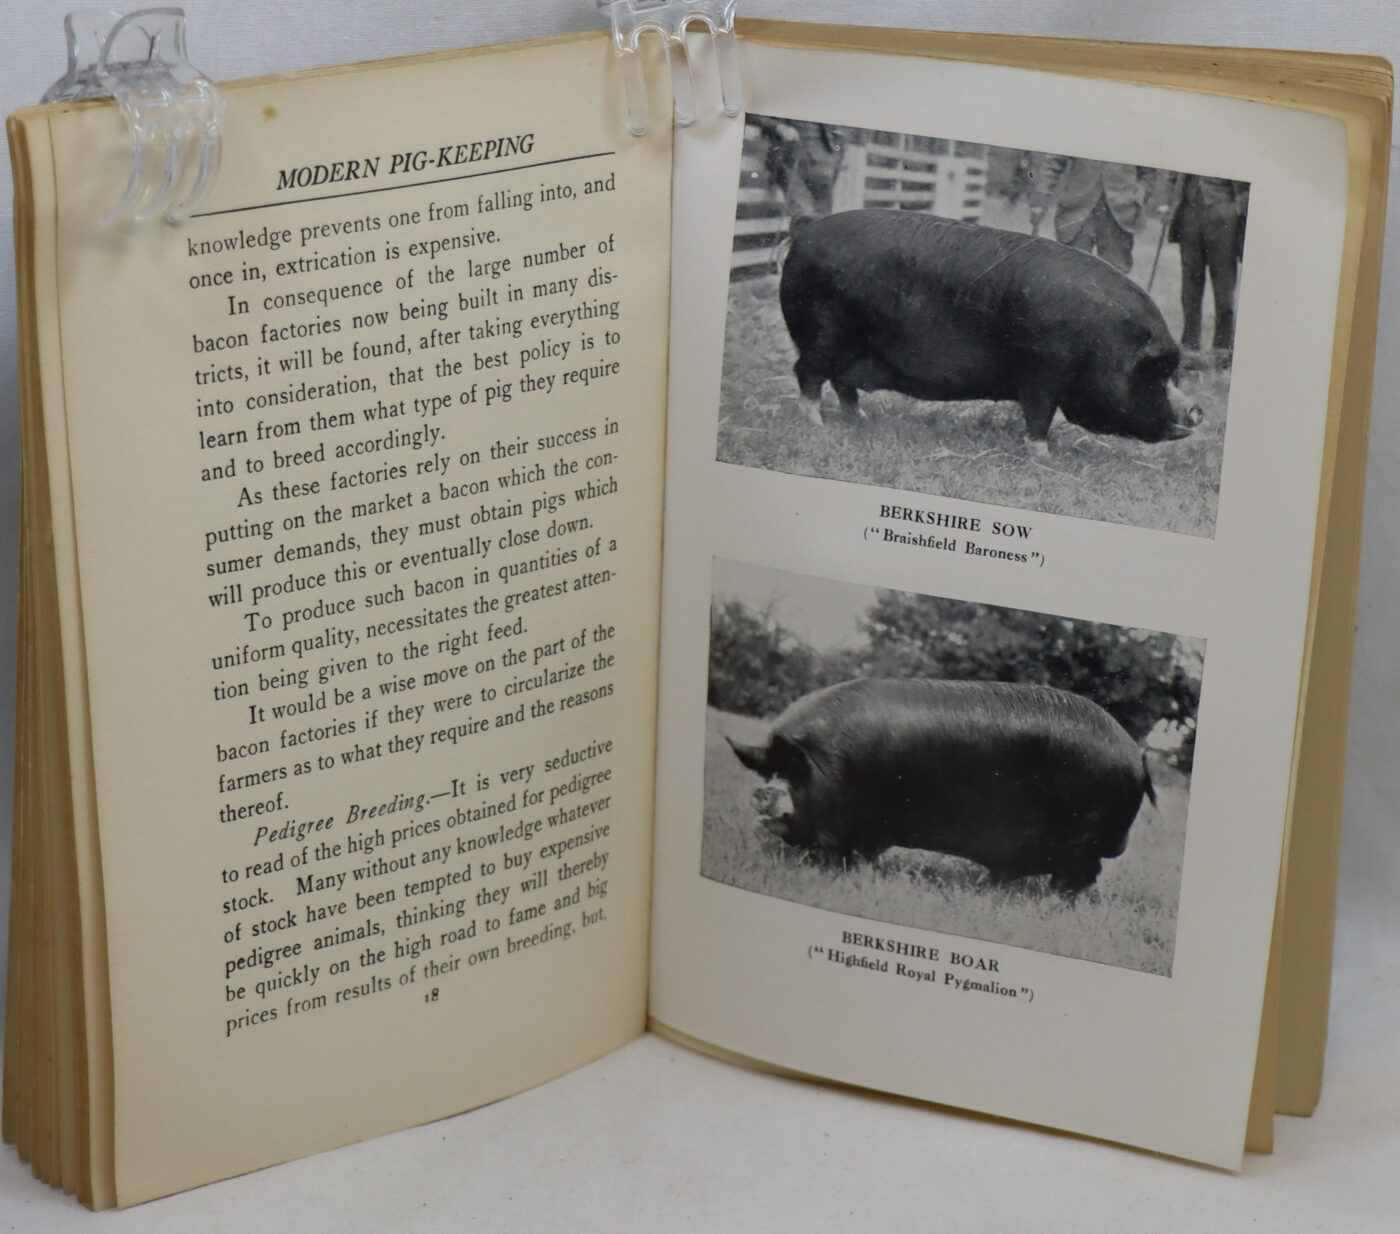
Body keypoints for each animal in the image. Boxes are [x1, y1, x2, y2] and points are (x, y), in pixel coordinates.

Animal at [726, 678, 1155, 894]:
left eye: (795, 773)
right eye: (769, 771)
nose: (762, 794)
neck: (830, 764)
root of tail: (1137, 756)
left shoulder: (845, 818)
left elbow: (836, 848)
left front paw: (829, 872)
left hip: (1084, 838)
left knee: (1082, 874)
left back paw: (1051, 900)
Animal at [777, 209, 1203, 451]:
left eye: (1173, 373)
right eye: (1156, 372)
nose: (1198, 410)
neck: (1105, 347)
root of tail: (807, 228)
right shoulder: (1043, 375)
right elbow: (1038, 420)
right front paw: (1042, 457)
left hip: (849, 346)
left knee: (842, 383)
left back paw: (861, 421)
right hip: (824, 333)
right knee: (808, 374)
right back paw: (816, 426)